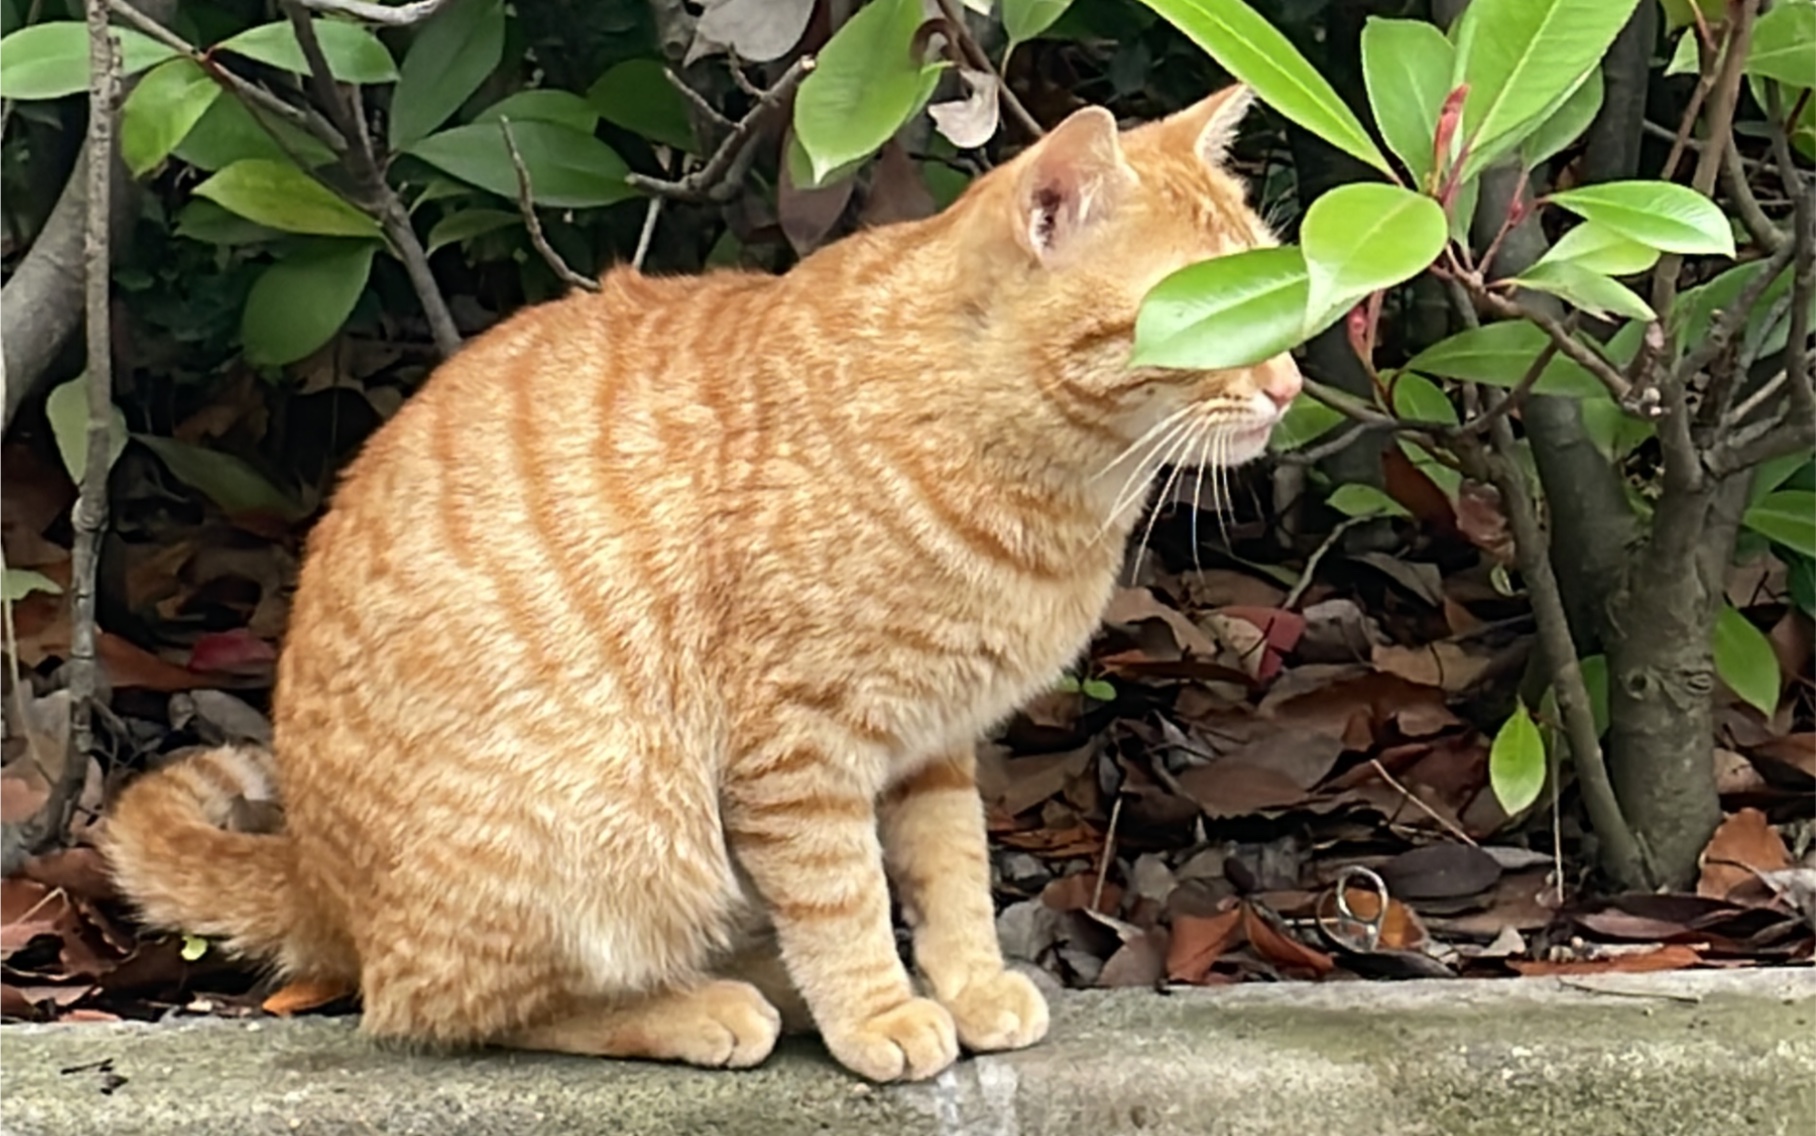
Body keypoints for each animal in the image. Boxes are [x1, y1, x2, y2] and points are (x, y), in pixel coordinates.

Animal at [99, 86, 1300, 1081]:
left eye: (1281, 296)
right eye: (1209, 315)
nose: (1290, 385)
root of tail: (316, 878)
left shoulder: (932, 742)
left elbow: (951, 873)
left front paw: (965, 986)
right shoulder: (799, 752)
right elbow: (843, 897)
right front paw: (879, 1011)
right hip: (610, 827)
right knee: (436, 1008)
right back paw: (708, 1006)